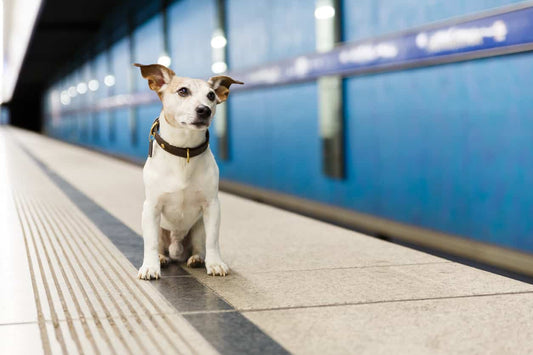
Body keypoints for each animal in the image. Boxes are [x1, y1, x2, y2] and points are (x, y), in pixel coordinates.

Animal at [134, 63, 242, 280]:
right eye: (183, 91)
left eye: (211, 95)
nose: (204, 110)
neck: (185, 151)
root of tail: (176, 249)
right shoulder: (151, 207)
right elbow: (150, 244)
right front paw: (149, 266)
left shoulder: (212, 206)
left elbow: (213, 240)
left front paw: (215, 263)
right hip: (160, 229)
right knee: (159, 245)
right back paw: (161, 258)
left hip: (198, 227)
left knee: (201, 244)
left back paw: (197, 258)